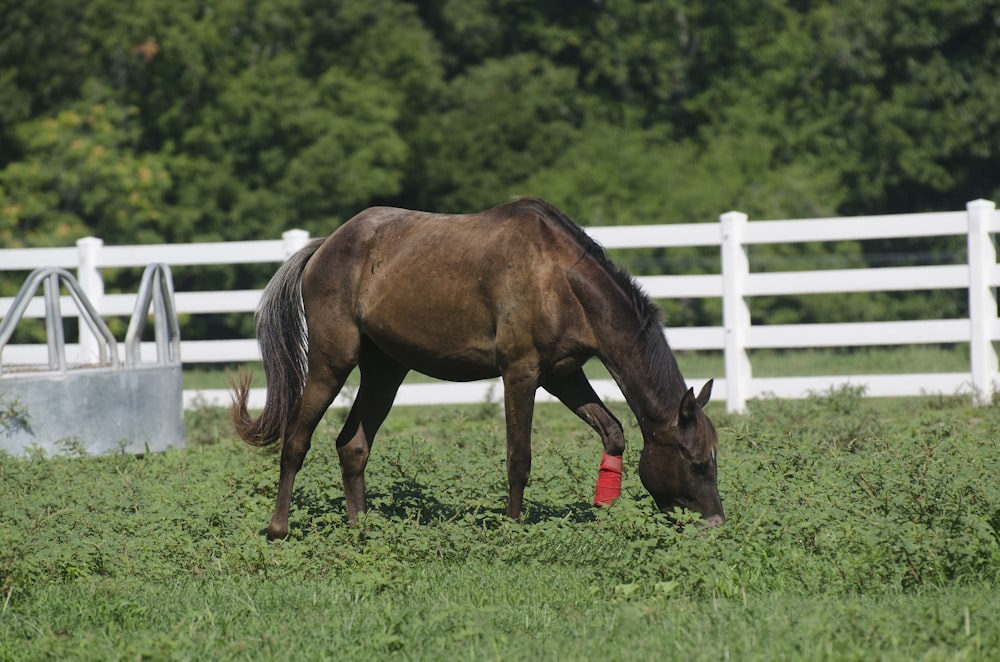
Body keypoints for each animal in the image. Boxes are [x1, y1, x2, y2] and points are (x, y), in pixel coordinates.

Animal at [231, 197, 724, 539]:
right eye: (697, 462)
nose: (715, 522)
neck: (559, 279)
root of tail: (324, 247)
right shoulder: (521, 373)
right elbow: (519, 458)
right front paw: (512, 528)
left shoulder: (562, 374)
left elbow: (614, 432)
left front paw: (605, 509)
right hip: (332, 363)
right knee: (296, 440)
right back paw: (278, 530)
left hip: (386, 372)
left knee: (352, 445)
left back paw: (361, 528)